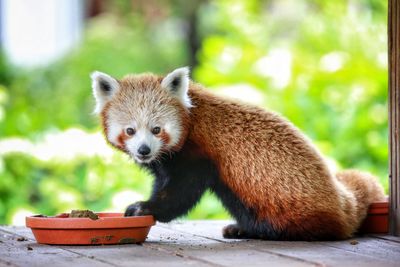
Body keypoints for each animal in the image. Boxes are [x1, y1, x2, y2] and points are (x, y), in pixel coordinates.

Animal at [90, 67, 384, 241]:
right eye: (130, 130)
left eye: (156, 129)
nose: (144, 150)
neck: (191, 117)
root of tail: (340, 201)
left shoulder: (197, 156)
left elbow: (180, 193)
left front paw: (145, 207)